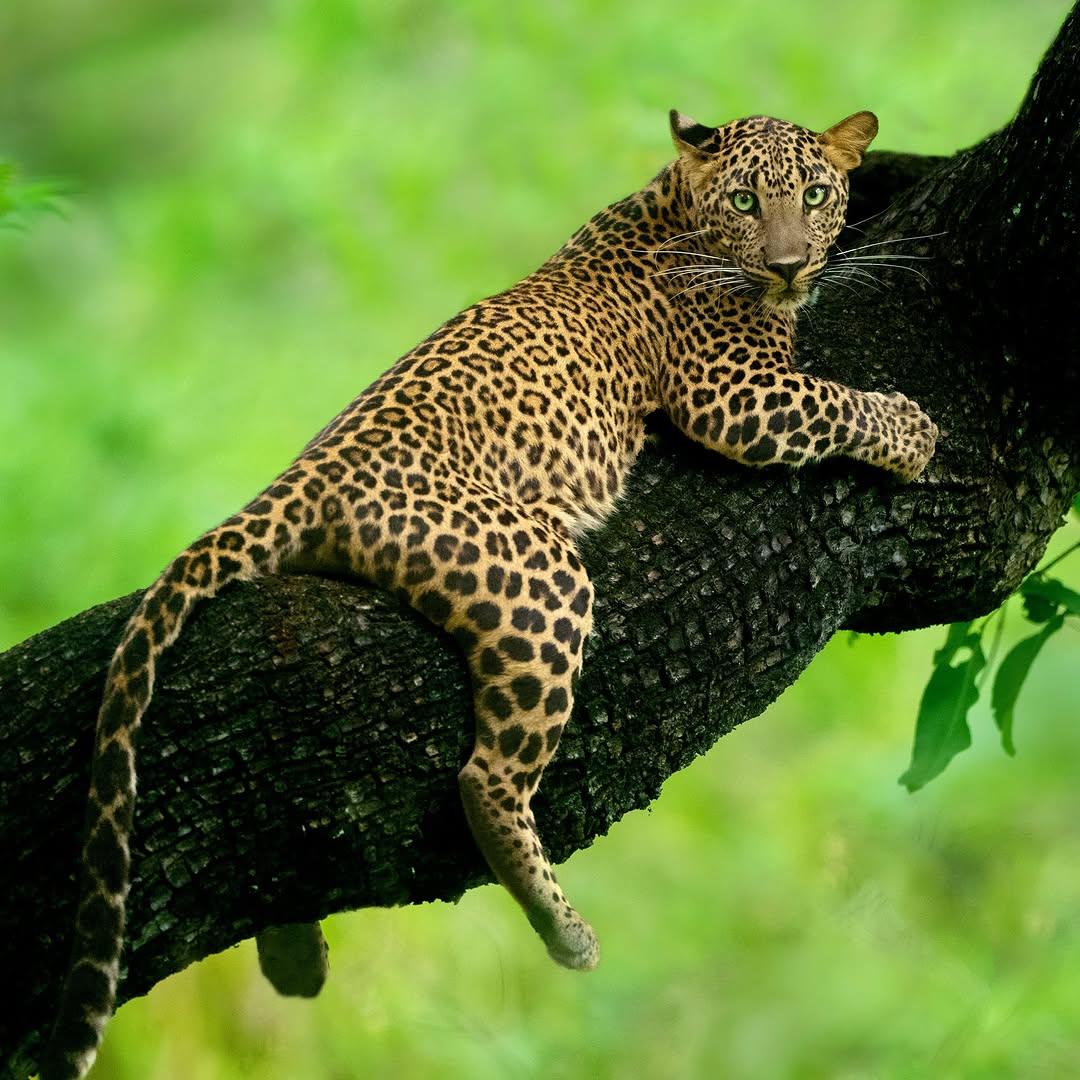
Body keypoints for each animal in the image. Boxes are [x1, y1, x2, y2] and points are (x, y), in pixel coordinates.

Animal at [42, 107, 937, 1080]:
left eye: (813, 194)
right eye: (746, 201)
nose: (787, 264)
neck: (668, 201)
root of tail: (308, 476)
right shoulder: (732, 392)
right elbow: (836, 403)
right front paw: (914, 431)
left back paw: (291, 953)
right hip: (539, 577)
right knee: (486, 778)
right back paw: (565, 930)